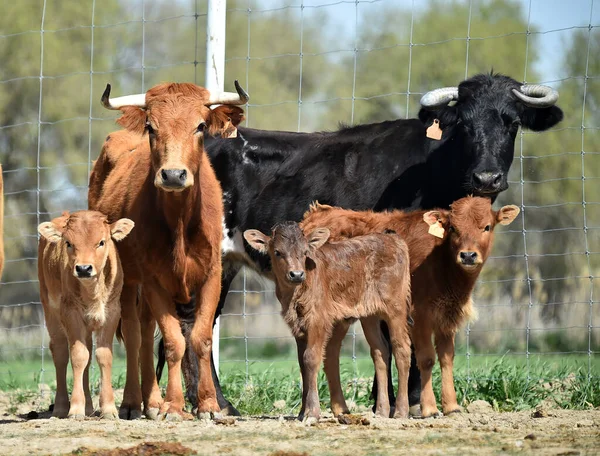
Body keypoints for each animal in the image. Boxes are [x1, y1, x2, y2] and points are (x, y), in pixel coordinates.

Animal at [37, 210, 134, 416]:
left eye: (102, 242)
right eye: (68, 243)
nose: (83, 268)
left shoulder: (112, 313)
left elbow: (103, 356)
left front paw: (108, 408)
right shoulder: (70, 314)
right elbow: (78, 356)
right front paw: (75, 408)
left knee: (88, 354)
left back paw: (89, 406)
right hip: (50, 310)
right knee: (60, 352)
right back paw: (60, 407)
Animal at [88, 80, 247, 418]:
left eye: (200, 126)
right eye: (151, 126)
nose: (173, 175)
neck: (180, 225)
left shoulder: (213, 275)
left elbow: (200, 339)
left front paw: (209, 404)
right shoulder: (152, 280)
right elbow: (174, 342)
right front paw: (174, 405)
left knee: (146, 330)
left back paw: (152, 401)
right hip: (127, 280)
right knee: (135, 335)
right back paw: (134, 402)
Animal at [244, 222, 412, 420]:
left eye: (305, 252)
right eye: (277, 252)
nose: (296, 274)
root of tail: (393, 239)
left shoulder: (318, 320)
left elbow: (310, 358)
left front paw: (312, 412)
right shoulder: (297, 326)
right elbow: (302, 363)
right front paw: (302, 412)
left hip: (396, 309)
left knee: (402, 349)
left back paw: (401, 411)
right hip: (369, 315)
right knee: (380, 351)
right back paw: (381, 411)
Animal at [302, 196, 516, 416]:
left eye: (487, 227)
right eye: (453, 228)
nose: (468, 255)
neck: (442, 261)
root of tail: (316, 214)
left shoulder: (447, 317)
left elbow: (447, 357)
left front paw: (451, 406)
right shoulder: (419, 315)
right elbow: (426, 358)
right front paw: (429, 408)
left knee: (331, 352)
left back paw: (340, 408)